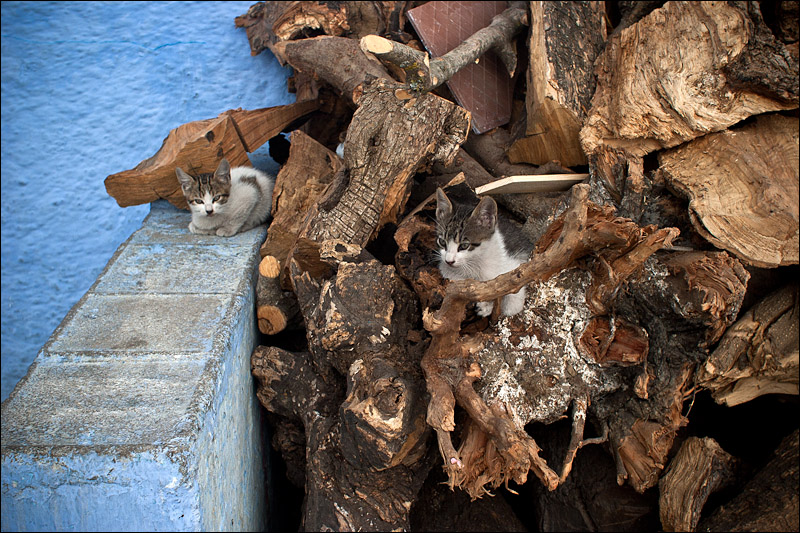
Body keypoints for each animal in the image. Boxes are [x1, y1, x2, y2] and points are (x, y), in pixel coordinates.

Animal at [438, 188, 532, 316]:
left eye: (464, 245)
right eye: (442, 242)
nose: (449, 261)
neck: (474, 263)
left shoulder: (514, 259)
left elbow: (516, 279)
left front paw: (508, 307)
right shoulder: (447, 270)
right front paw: (486, 306)